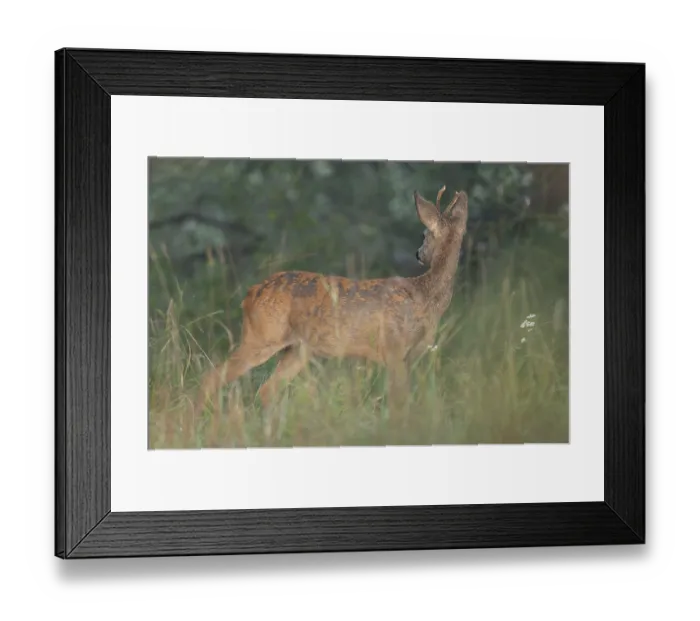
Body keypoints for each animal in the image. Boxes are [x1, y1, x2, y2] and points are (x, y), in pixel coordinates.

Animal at [195, 186, 469, 426]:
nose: (418, 254)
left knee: (266, 389)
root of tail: (250, 294)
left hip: (297, 349)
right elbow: (399, 403)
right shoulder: (394, 348)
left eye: (423, 236)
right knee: (210, 379)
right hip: (262, 337)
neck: (424, 295)